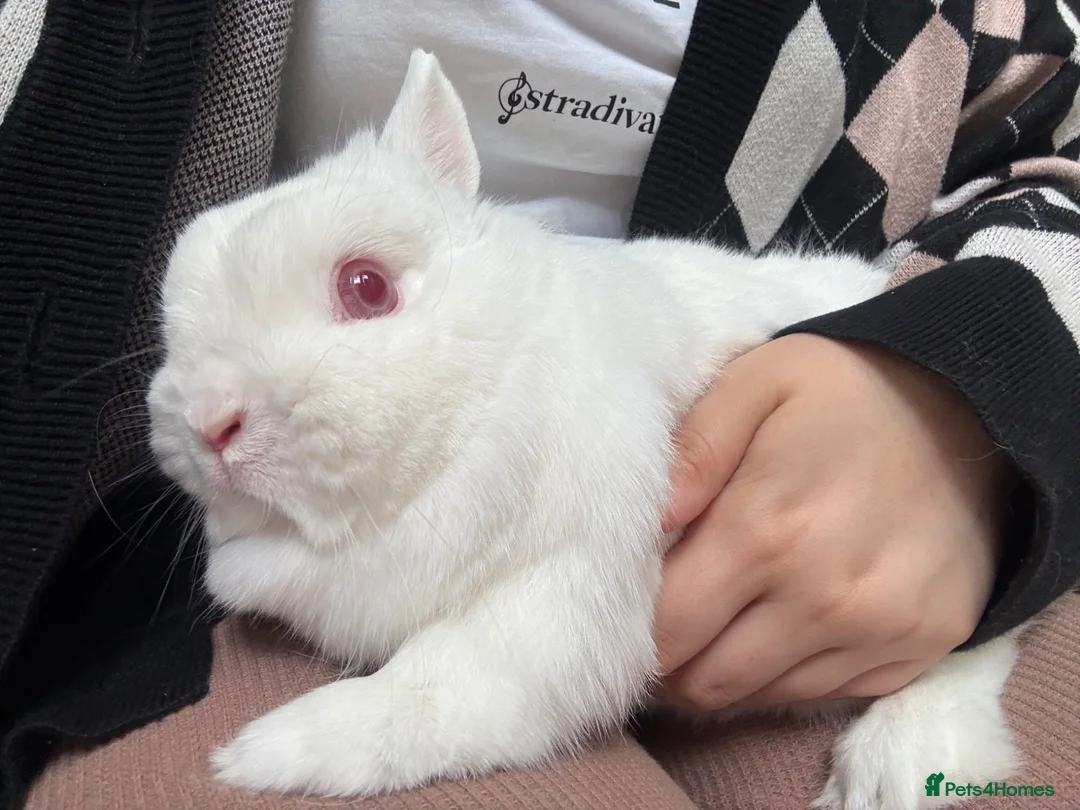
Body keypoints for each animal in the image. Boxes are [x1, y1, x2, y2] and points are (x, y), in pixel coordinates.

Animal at [147, 49, 1020, 810]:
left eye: (366, 287)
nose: (211, 423)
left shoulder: (562, 591)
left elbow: (436, 691)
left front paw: (268, 754)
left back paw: (897, 768)